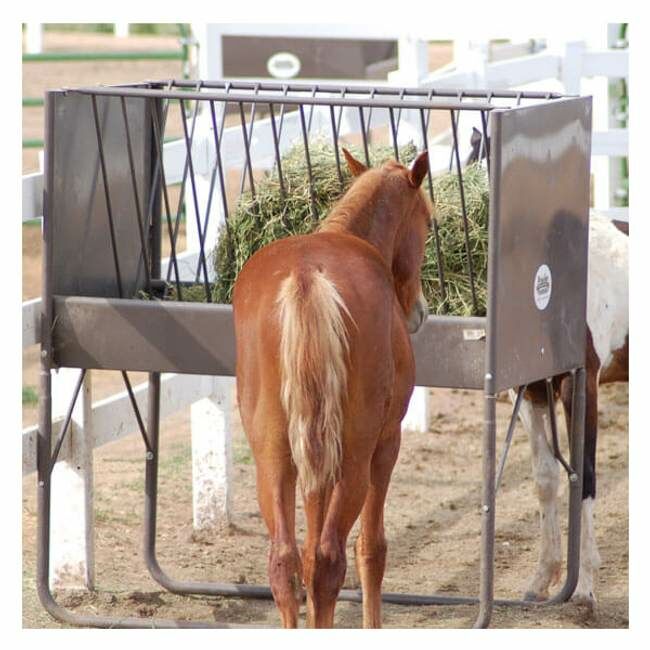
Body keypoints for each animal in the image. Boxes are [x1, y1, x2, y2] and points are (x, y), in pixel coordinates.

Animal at [232, 148, 432, 628]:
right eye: (429, 224)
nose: (419, 311)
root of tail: (307, 277)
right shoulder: (386, 445)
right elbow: (371, 548)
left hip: (275, 457)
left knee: (286, 562)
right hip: (355, 458)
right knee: (328, 559)